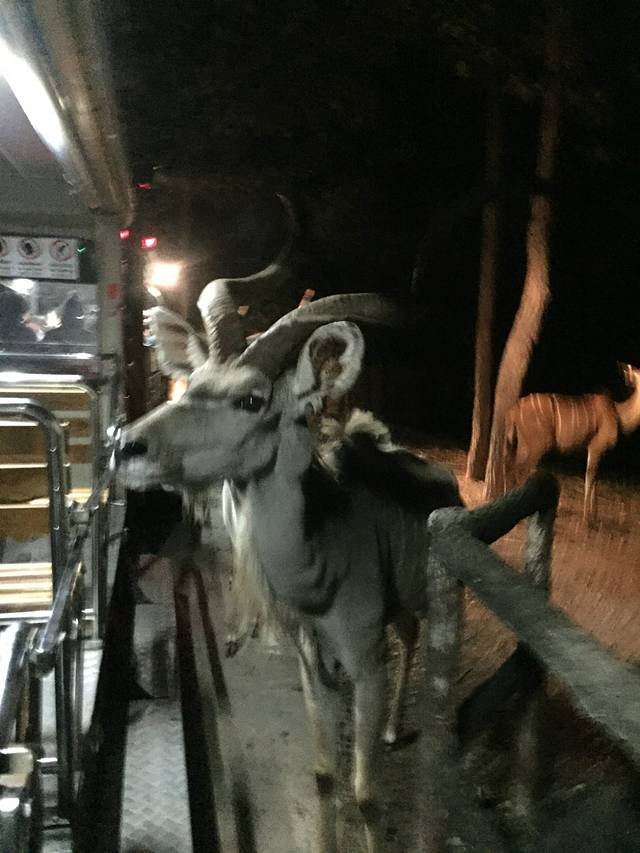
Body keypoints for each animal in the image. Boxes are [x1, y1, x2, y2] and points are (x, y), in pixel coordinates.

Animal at [120, 277, 463, 852]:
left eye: (251, 399)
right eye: (191, 384)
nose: (126, 445)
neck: (321, 561)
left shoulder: (366, 662)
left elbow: (365, 796)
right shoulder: (311, 658)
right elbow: (324, 774)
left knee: (419, 634)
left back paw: (396, 729)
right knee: (408, 630)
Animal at [504, 364, 640, 522]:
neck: (618, 414)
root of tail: (513, 411)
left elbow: (595, 479)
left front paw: (594, 516)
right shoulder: (596, 446)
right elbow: (590, 477)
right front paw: (587, 518)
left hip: (520, 443)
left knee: (512, 465)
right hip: (539, 444)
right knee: (523, 468)